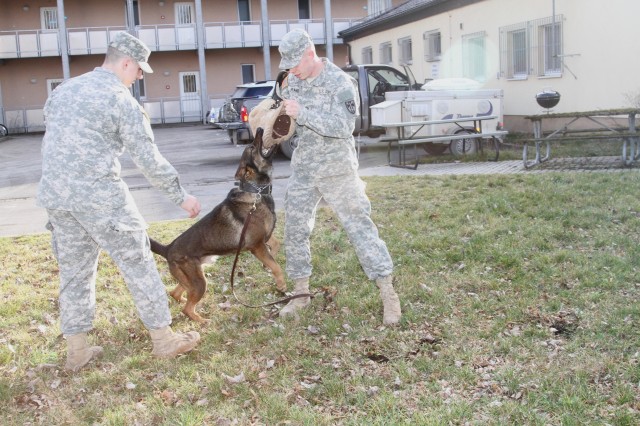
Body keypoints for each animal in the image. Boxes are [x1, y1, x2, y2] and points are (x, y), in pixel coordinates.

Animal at [150, 128, 284, 322]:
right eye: (252, 147)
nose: (259, 129)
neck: (257, 193)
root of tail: (168, 249)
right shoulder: (256, 246)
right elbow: (277, 266)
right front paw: (281, 284)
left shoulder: (265, 239)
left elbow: (276, 246)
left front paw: (268, 263)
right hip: (200, 282)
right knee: (187, 308)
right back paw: (202, 320)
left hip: (194, 277)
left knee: (176, 294)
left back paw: (183, 301)